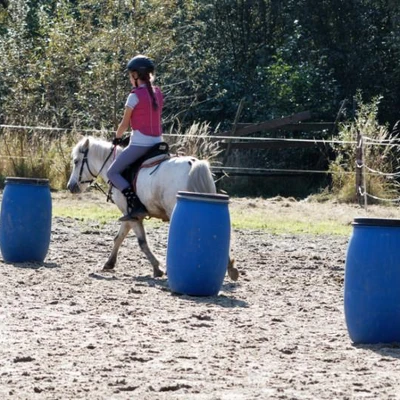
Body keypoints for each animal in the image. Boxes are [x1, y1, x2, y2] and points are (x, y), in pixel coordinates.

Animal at [67, 138, 239, 282]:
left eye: (76, 161)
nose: (70, 186)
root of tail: (193, 163)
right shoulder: (128, 215)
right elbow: (119, 238)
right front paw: (109, 263)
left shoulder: (133, 216)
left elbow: (142, 242)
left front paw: (157, 268)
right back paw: (230, 268)